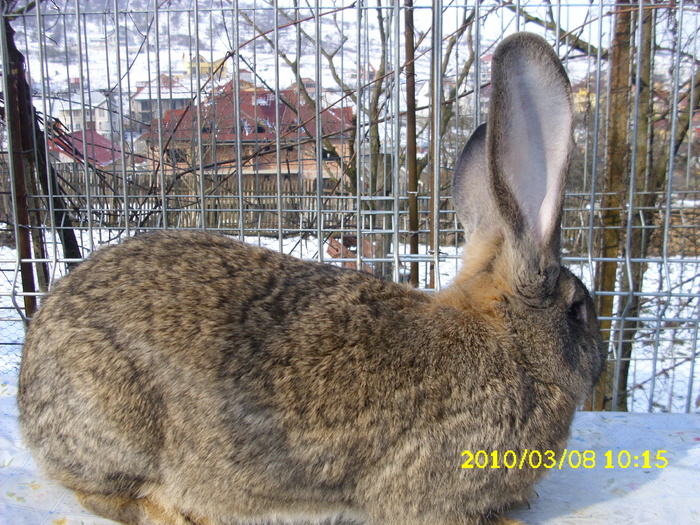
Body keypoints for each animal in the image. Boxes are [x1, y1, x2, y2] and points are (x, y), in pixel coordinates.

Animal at [16, 32, 608, 524]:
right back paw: (175, 512)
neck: (515, 345)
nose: (601, 367)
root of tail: (29, 377)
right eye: (579, 310)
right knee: (104, 494)